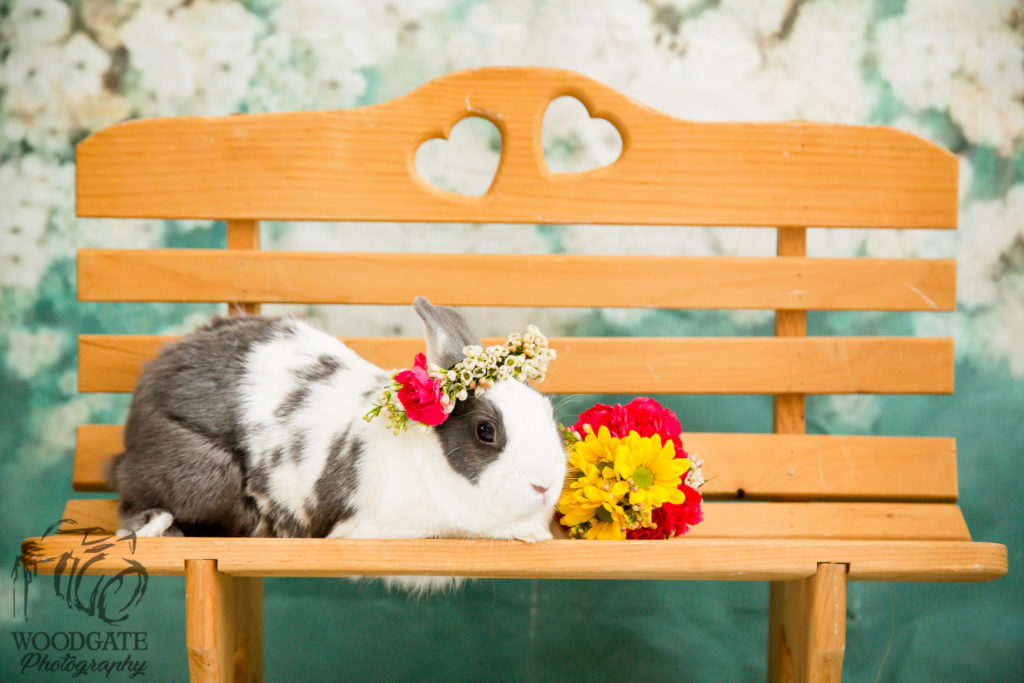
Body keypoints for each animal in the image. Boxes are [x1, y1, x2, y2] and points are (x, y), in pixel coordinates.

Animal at [110, 299, 569, 593]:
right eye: (485, 431)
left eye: (546, 410)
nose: (545, 486)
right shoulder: (382, 529)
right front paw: (527, 533)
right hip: (202, 479)